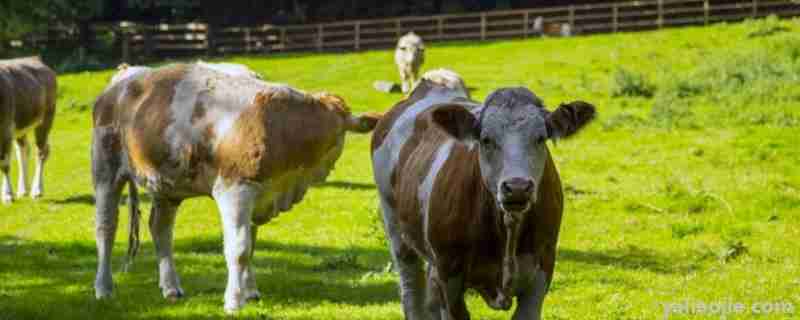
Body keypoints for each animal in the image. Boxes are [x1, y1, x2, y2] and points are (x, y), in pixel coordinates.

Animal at [0, 56, 57, 204]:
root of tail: (34, 58)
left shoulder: (5, 129)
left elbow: (4, 164)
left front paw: (7, 195)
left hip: (46, 118)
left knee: (41, 151)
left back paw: (37, 190)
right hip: (20, 128)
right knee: (24, 150)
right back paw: (23, 189)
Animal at [92, 62, 380, 312]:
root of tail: (126, 74)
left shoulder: (262, 194)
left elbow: (250, 247)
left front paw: (250, 292)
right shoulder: (235, 190)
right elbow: (239, 249)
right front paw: (233, 301)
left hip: (167, 183)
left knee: (160, 228)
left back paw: (171, 287)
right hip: (105, 170)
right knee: (106, 229)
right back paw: (104, 288)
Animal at [370, 70, 592, 320]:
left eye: (540, 138)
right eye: (486, 139)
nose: (517, 187)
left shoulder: (542, 270)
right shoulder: (449, 276)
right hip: (395, 229)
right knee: (412, 294)